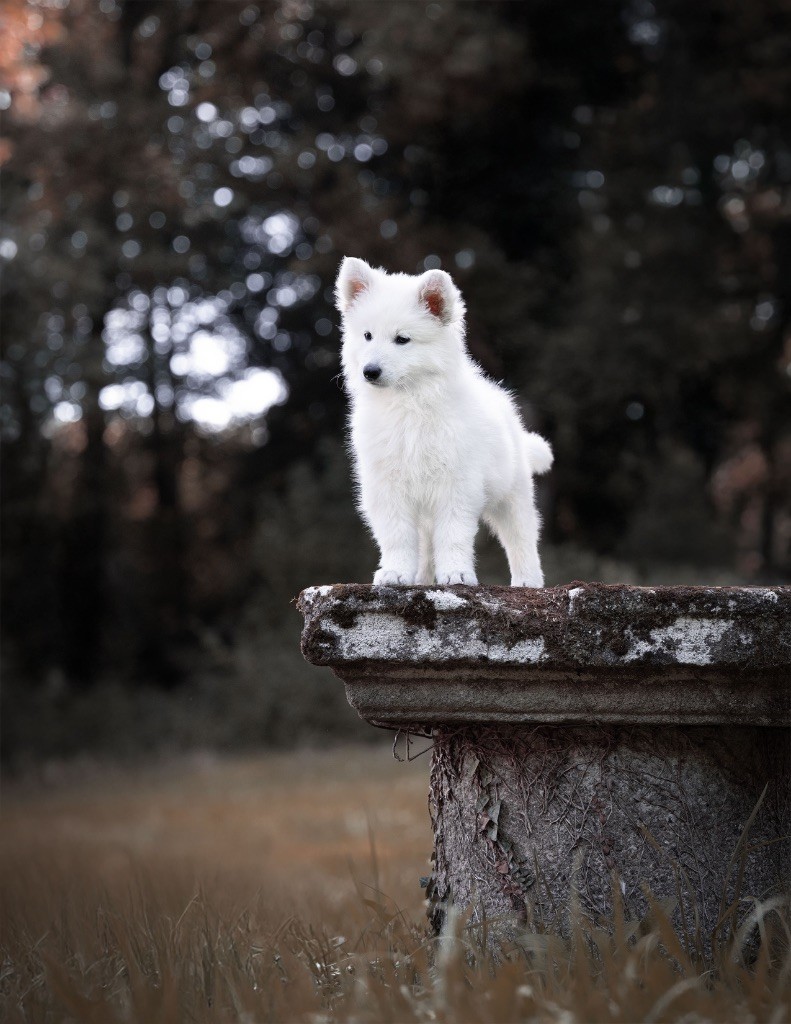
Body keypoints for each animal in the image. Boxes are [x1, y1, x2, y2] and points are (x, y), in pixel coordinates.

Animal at [335, 257, 553, 587]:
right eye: (367, 335)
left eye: (402, 339)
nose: (370, 371)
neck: (409, 403)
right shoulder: (386, 486)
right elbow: (396, 536)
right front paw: (395, 572)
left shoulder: (457, 483)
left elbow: (453, 535)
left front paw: (457, 574)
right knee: (426, 547)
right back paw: (422, 579)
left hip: (511, 494)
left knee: (521, 537)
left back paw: (528, 581)